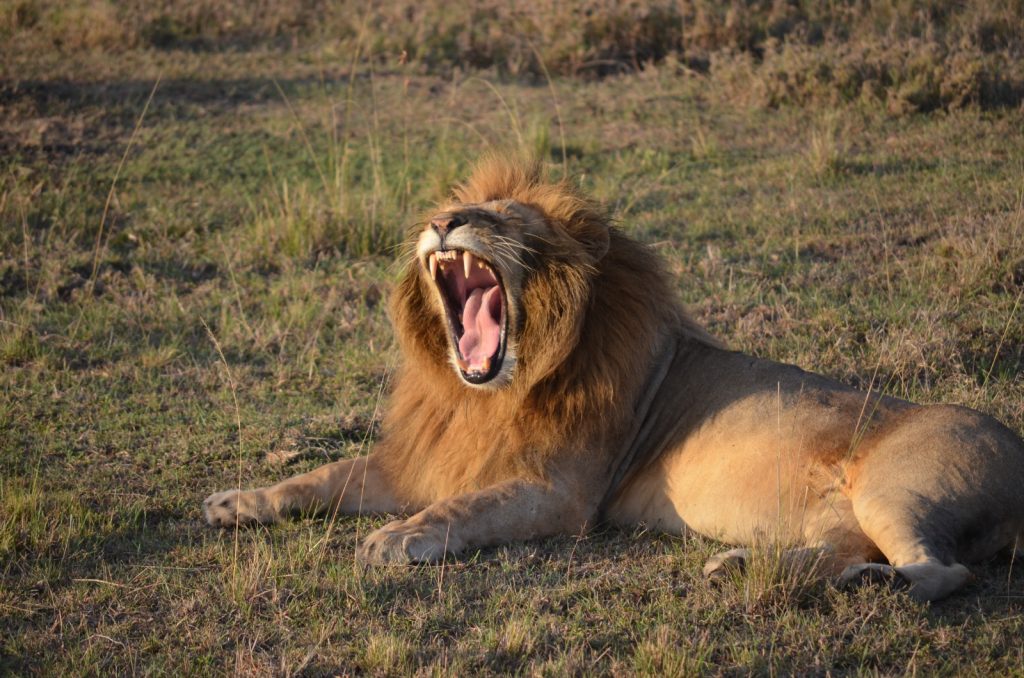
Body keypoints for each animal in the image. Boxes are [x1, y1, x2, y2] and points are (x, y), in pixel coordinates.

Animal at [204, 157, 1024, 602]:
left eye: (504, 218)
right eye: (454, 209)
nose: (442, 222)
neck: (488, 398)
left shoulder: (562, 493)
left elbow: (466, 508)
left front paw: (398, 538)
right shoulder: (428, 457)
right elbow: (325, 476)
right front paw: (235, 501)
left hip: (898, 486)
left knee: (942, 571)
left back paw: (867, 587)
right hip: (844, 515)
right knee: (847, 550)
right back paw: (741, 568)